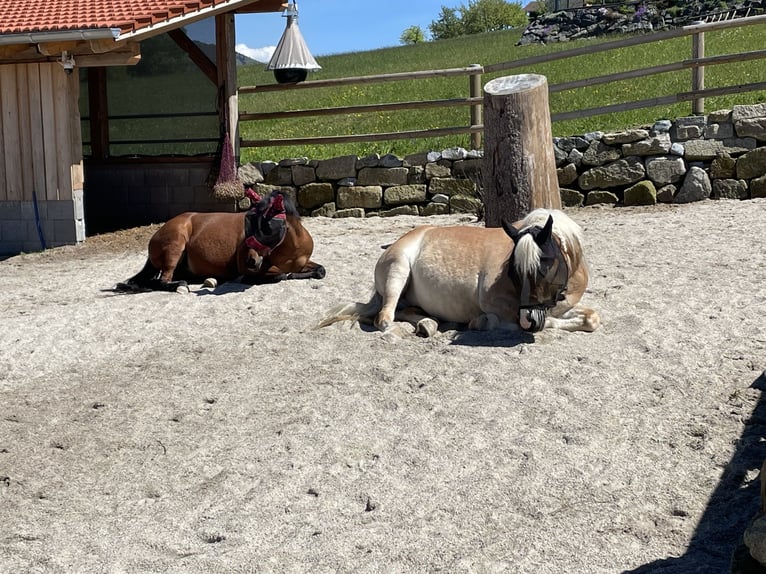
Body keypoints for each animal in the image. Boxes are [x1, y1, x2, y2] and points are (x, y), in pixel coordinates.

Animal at [115, 189, 325, 292]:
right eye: (249, 222)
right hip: (175, 247)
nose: (250, 260)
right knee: (162, 281)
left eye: (265, 225)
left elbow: (320, 270)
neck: (291, 249)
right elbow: (280, 275)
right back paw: (180, 286)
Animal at [319, 208, 600, 337]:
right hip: (397, 271)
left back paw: (429, 324)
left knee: (404, 311)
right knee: (385, 318)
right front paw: (482, 322)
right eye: (513, 272)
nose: (529, 319)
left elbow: (591, 318)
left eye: (545, 266)